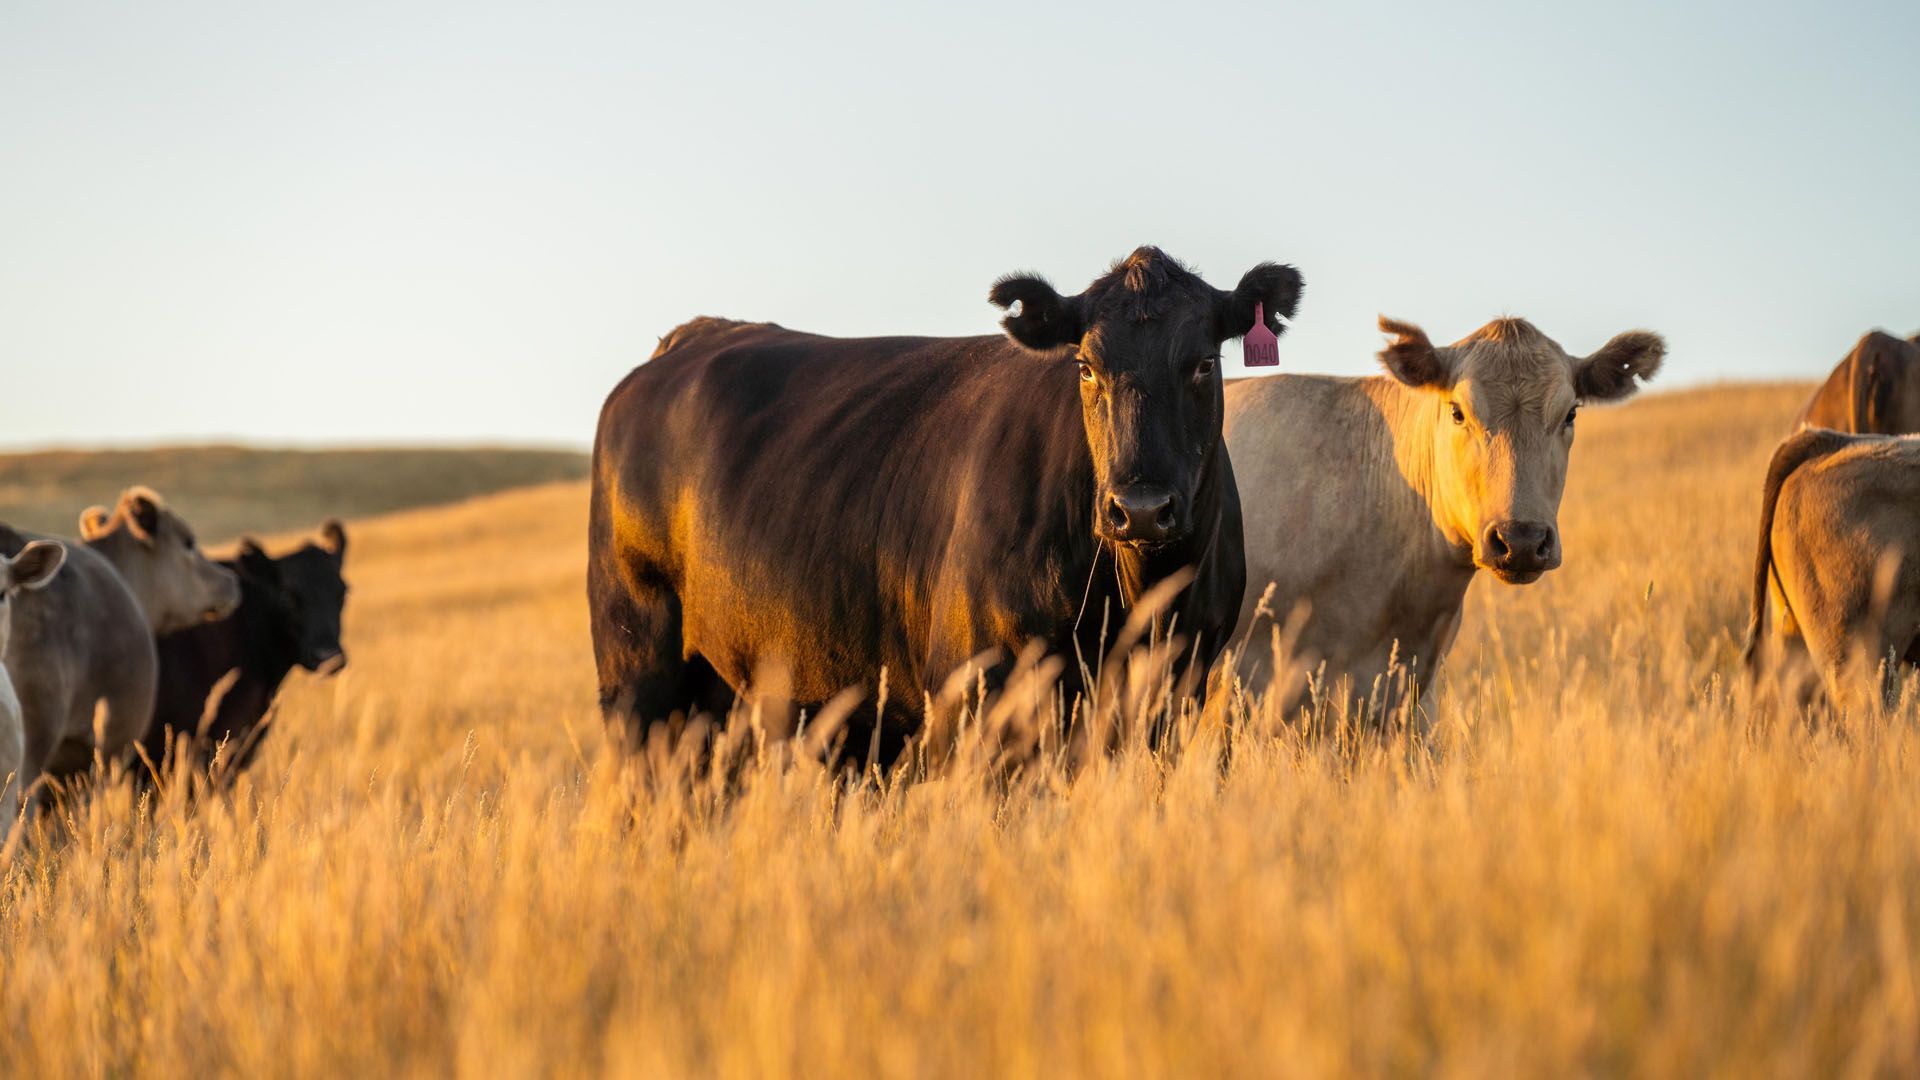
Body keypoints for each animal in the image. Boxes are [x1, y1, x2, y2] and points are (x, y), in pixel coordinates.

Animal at [589, 246, 1300, 760]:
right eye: (1085, 366)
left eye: (1204, 362)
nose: (1143, 508)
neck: (1137, 597)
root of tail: (694, 336)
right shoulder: (973, 698)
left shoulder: (1178, 689)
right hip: (637, 673)